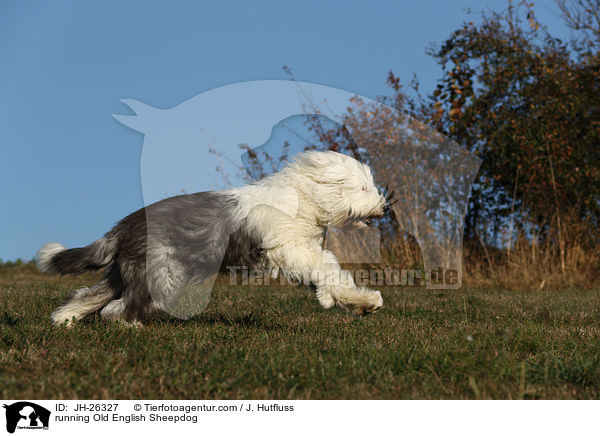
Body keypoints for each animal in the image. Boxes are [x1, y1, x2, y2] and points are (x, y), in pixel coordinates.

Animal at [38, 150, 394, 324]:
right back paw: (131, 326)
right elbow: (328, 268)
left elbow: (330, 274)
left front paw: (358, 303)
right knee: (117, 308)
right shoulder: (291, 249)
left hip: (124, 271)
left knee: (87, 294)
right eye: (363, 188)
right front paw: (358, 300)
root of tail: (123, 227)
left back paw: (64, 320)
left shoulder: (302, 252)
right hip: (162, 273)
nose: (385, 206)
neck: (304, 196)